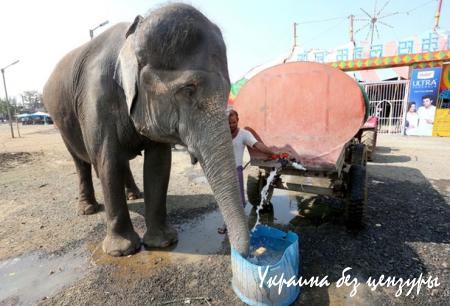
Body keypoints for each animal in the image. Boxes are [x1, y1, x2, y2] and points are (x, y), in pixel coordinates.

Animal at [43, 3, 250, 256]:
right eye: (188, 89)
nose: (239, 251)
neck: (131, 37)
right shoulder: (95, 98)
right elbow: (108, 161)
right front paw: (121, 251)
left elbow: (158, 164)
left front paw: (162, 242)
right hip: (61, 122)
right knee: (82, 161)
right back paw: (88, 208)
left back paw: (134, 194)